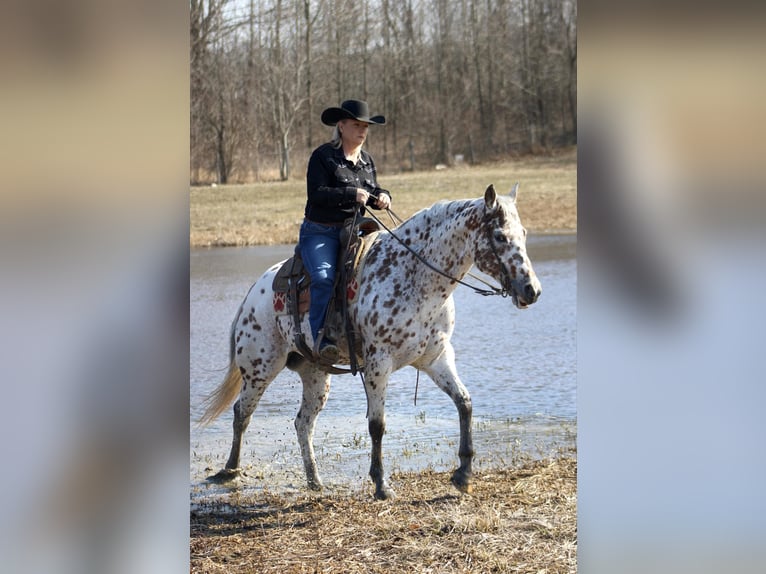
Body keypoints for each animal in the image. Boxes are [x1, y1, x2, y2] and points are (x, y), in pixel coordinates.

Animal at [201, 184, 544, 500]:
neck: (414, 277)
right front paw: (381, 485)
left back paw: (315, 481)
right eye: (499, 236)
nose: (532, 290)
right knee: (242, 413)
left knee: (303, 424)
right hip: (260, 368)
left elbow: (465, 403)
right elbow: (377, 424)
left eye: (524, 233)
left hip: (315, 376)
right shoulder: (378, 364)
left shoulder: (437, 358)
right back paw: (229, 470)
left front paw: (464, 474)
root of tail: (252, 294)